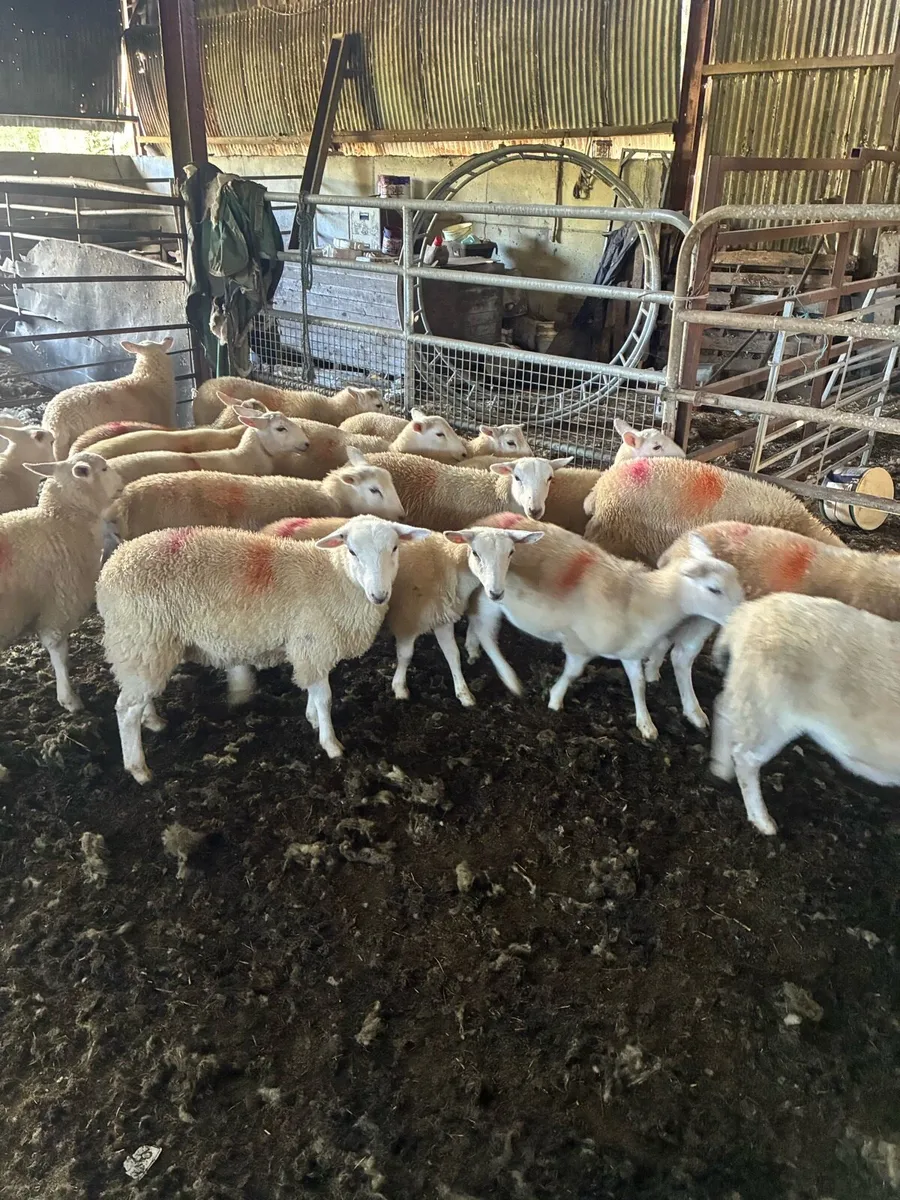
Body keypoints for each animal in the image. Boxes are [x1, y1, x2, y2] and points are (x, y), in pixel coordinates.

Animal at [0, 454, 123, 753]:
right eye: (104, 468)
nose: (122, 482)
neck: (59, 523)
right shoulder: (58, 604)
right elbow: (59, 653)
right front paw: (69, 699)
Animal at [97, 515, 431, 781]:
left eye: (395, 548)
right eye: (352, 551)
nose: (379, 595)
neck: (335, 577)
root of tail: (112, 568)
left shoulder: (305, 646)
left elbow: (311, 690)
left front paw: (311, 719)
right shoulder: (314, 642)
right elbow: (324, 698)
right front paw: (331, 744)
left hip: (145, 645)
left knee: (138, 695)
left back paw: (153, 721)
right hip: (142, 635)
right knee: (125, 710)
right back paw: (139, 769)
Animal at [263, 515, 543, 706]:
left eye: (511, 552)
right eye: (475, 553)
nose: (496, 593)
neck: (446, 565)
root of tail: (274, 527)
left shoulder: (441, 616)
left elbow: (453, 655)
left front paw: (463, 693)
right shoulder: (408, 618)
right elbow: (406, 656)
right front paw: (399, 688)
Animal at [464, 513, 743, 739]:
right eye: (714, 589)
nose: (741, 616)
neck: (642, 598)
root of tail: (489, 520)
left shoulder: (630, 651)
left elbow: (638, 683)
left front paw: (646, 724)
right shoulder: (579, 644)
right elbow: (572, 673)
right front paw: (555, 700)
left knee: (475, 621)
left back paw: (472, 649)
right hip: (492, 595)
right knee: (485, 630)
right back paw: (509, 677)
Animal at [710, 593, 900, 836]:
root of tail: (746, 613)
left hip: (748, 692)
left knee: (723, 706)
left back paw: (719, 769)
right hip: (770, 710)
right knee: (746, 758)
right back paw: (763, 822)